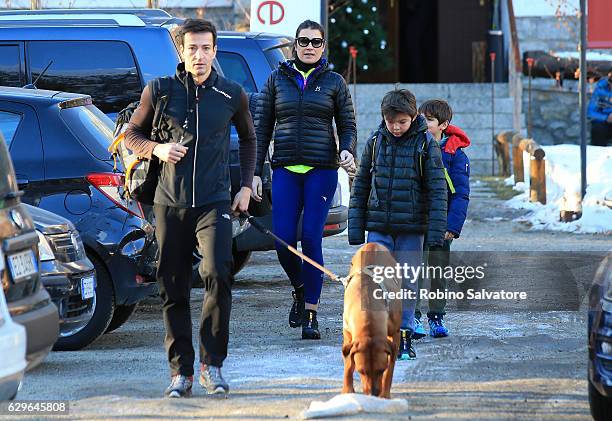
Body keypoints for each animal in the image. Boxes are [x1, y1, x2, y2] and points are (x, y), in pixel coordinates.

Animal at [342, 243, 404, 398]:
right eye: (361, 371)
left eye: (381, 370)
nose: (373, 394)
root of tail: (373, 244)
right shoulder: (347, 334)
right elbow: (348, 364)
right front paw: (347, 390)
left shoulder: (394, 335)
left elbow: (390, 369)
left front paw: (385, 395)